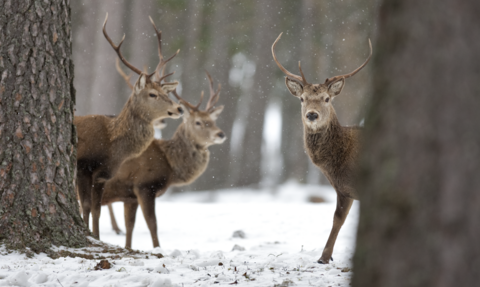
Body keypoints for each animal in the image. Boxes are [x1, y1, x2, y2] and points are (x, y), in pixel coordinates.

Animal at [76, 13, 183, 240]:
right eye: (152, 94)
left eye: (166, 92)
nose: (179, 108)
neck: (110, 147)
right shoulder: (82, 166)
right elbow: (86, 206)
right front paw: (90, 236)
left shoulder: (102, 175)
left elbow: (96, 209)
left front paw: (96, 237)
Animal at [100, 71, 227, 249]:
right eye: (198, 122)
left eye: (213, 121)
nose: (221, 134)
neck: (168, 162)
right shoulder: (144, 185)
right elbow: (152, 224)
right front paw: (157, 249)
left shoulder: (129, 194)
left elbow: (130, 225)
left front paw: (128, 247)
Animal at [272, 32, 374, 264]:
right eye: (302, 99)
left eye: (327, 99)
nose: (312, 114)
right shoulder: (344, 189)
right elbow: (338, 219)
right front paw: (325, 257)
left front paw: (324, 257)